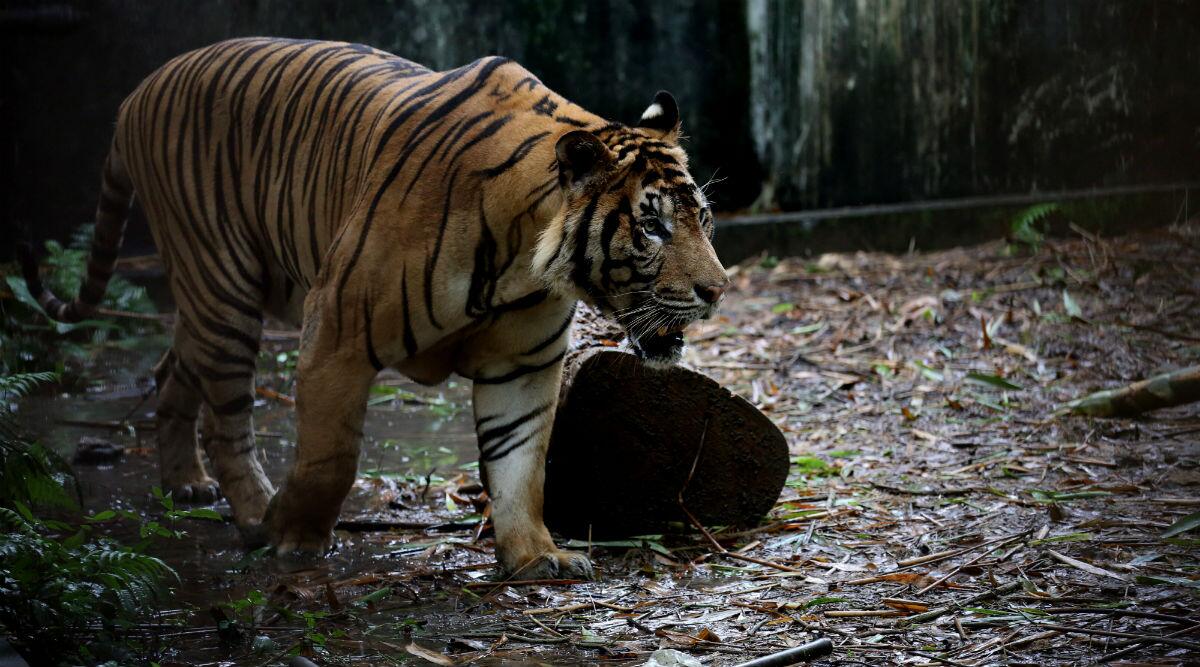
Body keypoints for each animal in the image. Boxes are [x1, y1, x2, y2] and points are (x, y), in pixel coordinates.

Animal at [21, 37, 728, 579]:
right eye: (653, 227)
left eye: (703, 218)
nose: (717, 290)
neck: (523, 263)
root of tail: (136, 92)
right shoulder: (335, 332)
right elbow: (330, 457)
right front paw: (295, 540)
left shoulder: (522, 365)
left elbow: (521, 463)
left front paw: (535, 556)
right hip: (221, 286)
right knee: (227, 419)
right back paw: (252, 514)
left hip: (208, 301)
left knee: (172, 370)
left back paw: (184, 483)